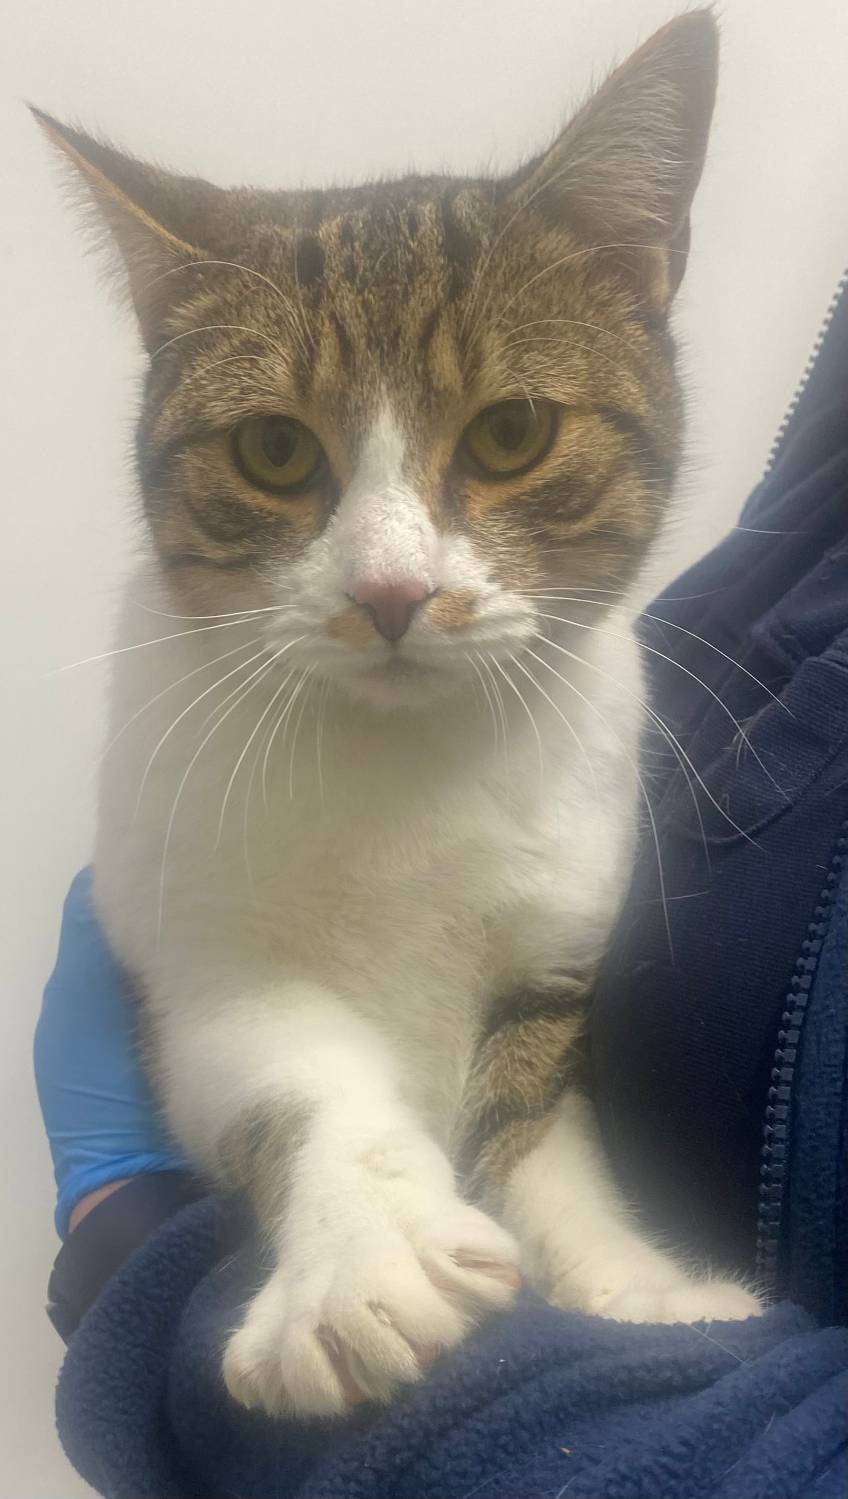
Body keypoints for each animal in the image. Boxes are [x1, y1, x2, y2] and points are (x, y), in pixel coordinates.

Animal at [38, 9, 760, 1420]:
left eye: (512, 429)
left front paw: (634, 1287)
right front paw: (362, 1261)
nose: (389, 591)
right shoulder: (196, 951)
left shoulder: (553, 946)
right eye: (271, 449)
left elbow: (534, 1122)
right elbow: (295, 1070)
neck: (400, 755)